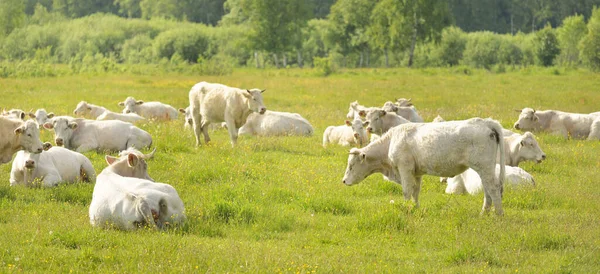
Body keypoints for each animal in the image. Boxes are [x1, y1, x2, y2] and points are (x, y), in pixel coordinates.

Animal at [342, 117, 506, 216]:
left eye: (351, 165)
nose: (343, 181)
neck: (391, 142)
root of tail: (485, 122)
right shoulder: (417, 173)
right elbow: (416, 192)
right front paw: (415, 208)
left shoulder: (405, 169)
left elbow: (407, 191)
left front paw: (407, 209)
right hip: (485, 170)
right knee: (488, 190)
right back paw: (484, 214)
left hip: (484, 168)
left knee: (493, 189)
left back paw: (498, 214)